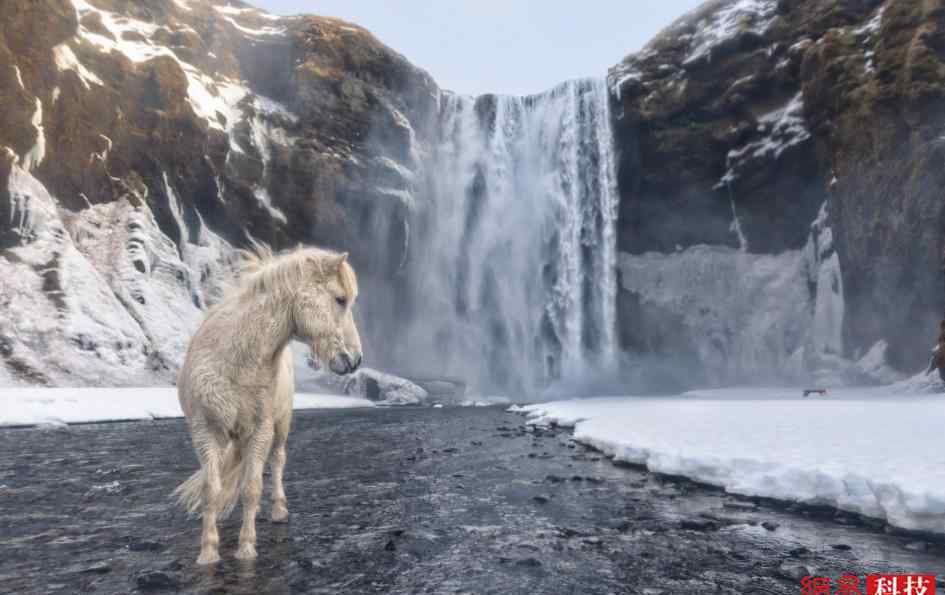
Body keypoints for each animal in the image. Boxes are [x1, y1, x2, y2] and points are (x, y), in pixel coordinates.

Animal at [171, 244, 364, 564]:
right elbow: (212, 488)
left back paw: (278, 510)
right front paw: (208, 551)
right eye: (340, 299)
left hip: (280, 427)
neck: (236, 360)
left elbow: (252, 488)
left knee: (277, 461)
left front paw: (246, 548)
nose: (355, 360)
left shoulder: (260, 430)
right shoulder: (205, 431)